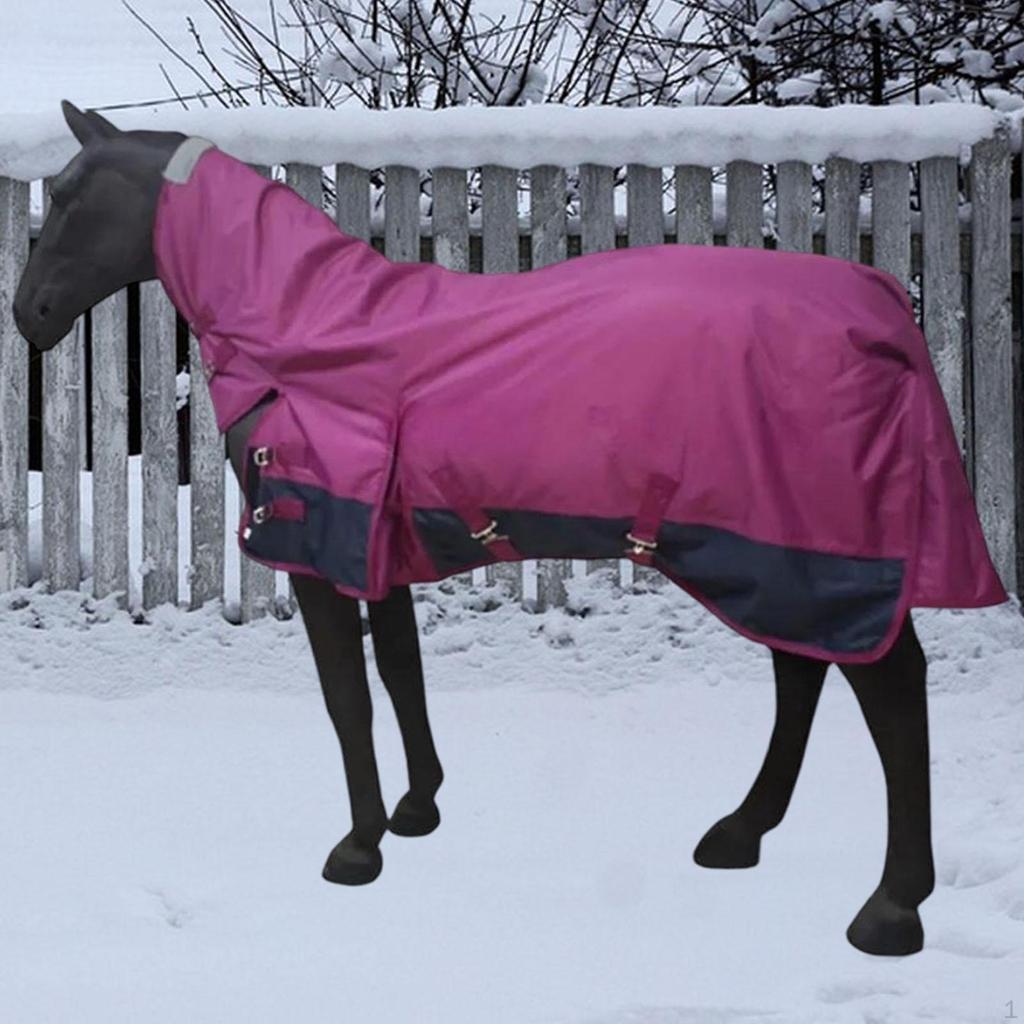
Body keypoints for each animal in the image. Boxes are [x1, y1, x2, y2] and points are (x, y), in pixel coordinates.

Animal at [13, 100, 1001, 957]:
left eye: (66, 197)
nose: (28, 314)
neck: (307, 333)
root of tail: (877, 301)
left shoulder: (318, 549)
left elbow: (347, 698)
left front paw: (356, 850)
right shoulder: (379, 548)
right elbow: (401, 673)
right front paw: (417, 811)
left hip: (815, 557)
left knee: (888, 691)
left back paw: (891, 909)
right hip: (775, 557)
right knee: (802, 678)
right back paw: (739, 833)